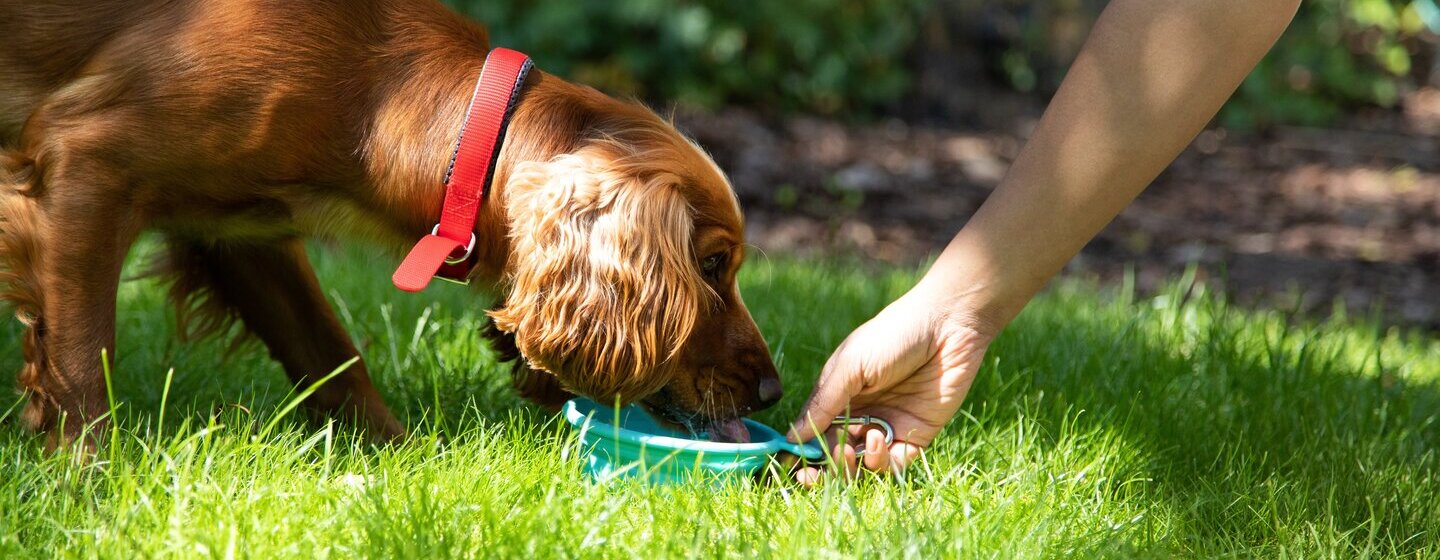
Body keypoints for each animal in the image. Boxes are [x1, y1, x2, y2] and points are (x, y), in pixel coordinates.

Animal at [0, 0, 783, 449]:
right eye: (711, 266)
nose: (774, 393)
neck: (374, 93)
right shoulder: (85, 161)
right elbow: (81, 361)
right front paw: (88, 480)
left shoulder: (238, 231)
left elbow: (329, 351)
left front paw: (395, 457)